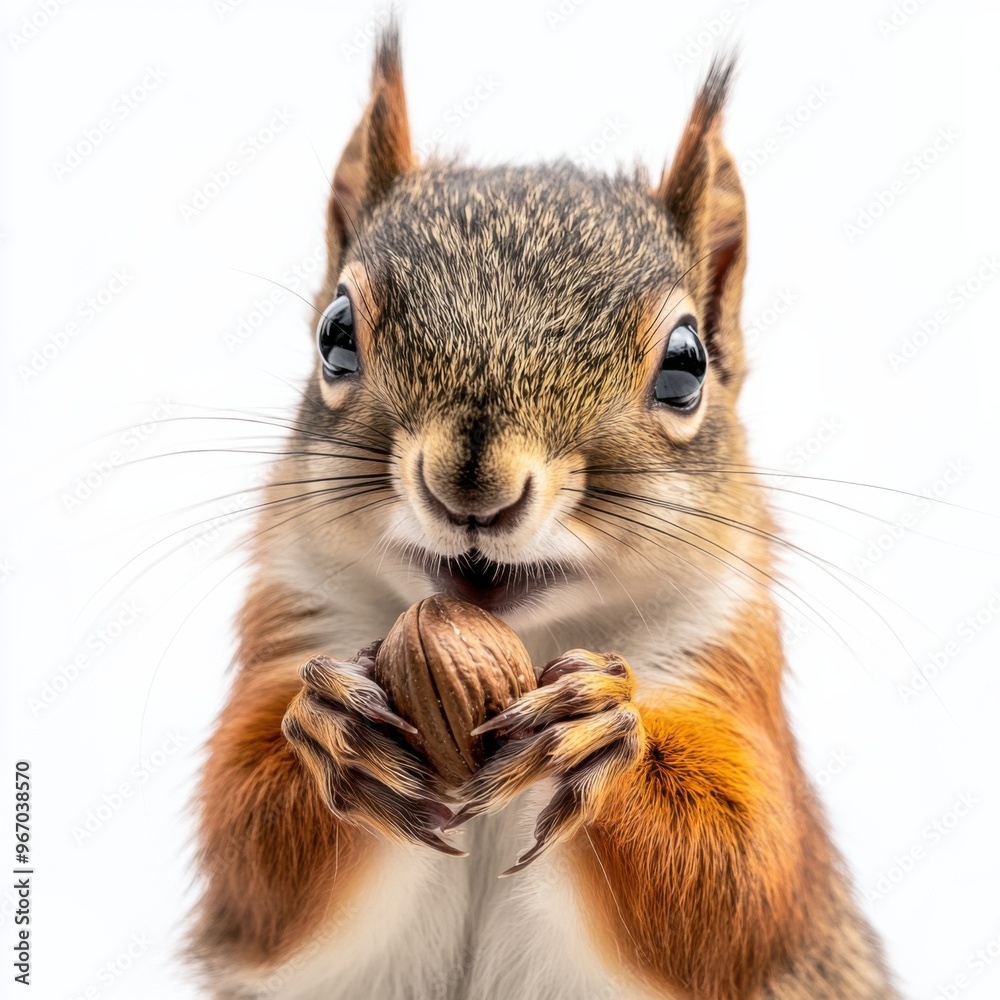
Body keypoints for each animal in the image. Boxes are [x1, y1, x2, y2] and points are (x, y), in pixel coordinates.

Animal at [187, 25, 902, 1000]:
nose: (471, 485)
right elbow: (252, 859)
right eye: (335, 333)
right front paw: (331, 730)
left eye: (686, 366)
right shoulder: (294, 623)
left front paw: (602, 730)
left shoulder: (730, 674)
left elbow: (736, 875)